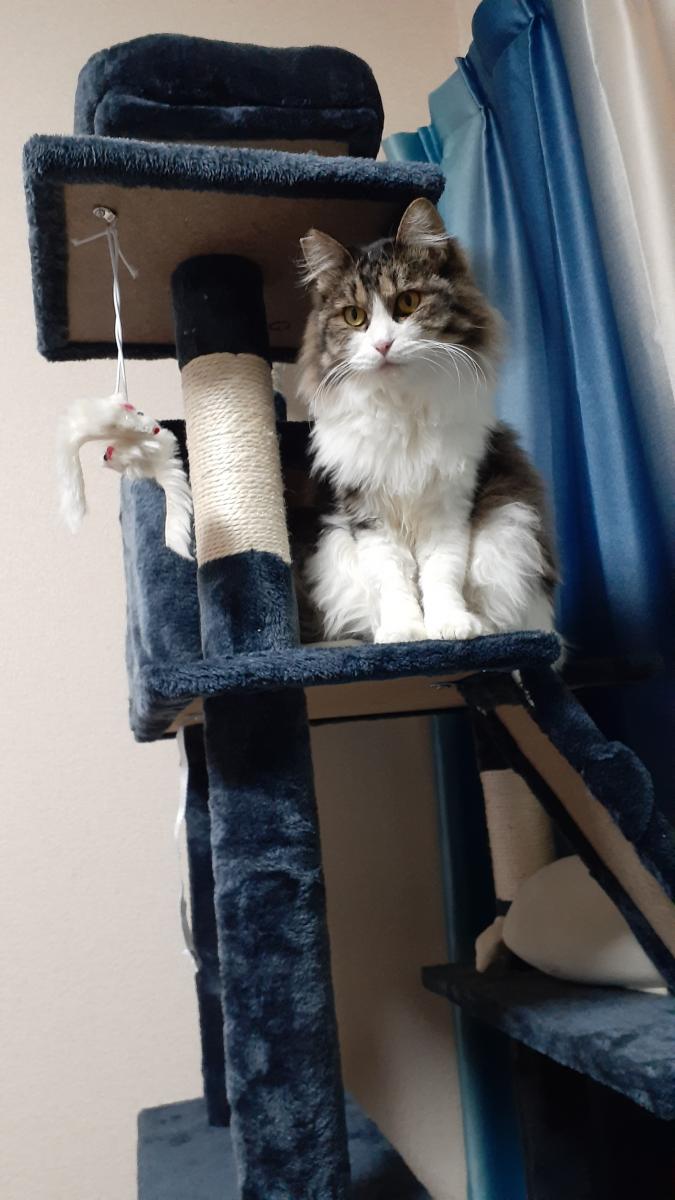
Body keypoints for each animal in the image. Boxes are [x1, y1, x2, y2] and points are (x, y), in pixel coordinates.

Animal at [295, 198, 557, 645]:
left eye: (407, 303)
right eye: (354, 317)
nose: (383, 345)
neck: (402, 409)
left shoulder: (451, 504)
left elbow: (442, 573)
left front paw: (450, 626)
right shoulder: (368, 513)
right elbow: (392, 580)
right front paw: (404, 631)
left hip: (510, 530)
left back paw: (485, 627)